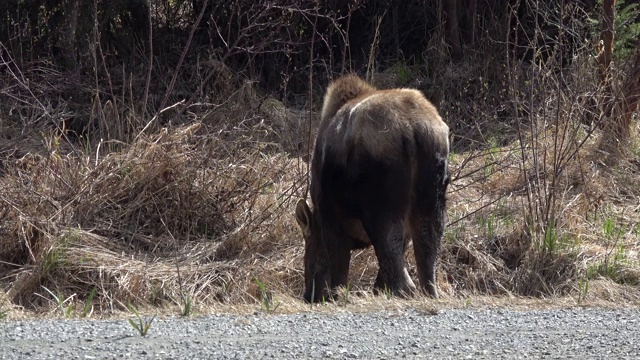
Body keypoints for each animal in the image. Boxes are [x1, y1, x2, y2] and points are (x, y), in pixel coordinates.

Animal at [296, 74, 450, 302]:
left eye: (308, 252)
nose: (309, 296)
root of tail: (413, 131)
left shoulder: (330, 217)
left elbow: (339, 273)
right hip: (431, 201)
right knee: (426, 268)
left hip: (380, 206)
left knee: (402, 278)